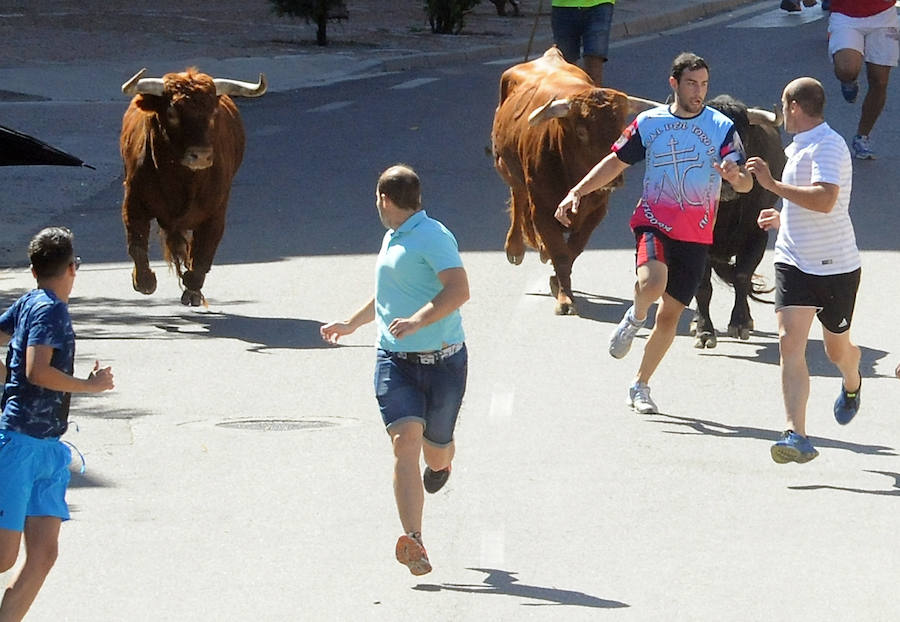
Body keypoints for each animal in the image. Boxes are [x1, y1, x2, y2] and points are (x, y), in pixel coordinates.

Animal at [492, 47, 652, 316]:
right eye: (581, 131)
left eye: (621, 129)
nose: (615, 178)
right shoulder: (542, 209)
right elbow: (561, 253)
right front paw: (565, 298)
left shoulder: (598, 210)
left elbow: (573, 249)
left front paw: (557, 283)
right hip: (504, 165)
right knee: (518, 194)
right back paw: (515, 248)